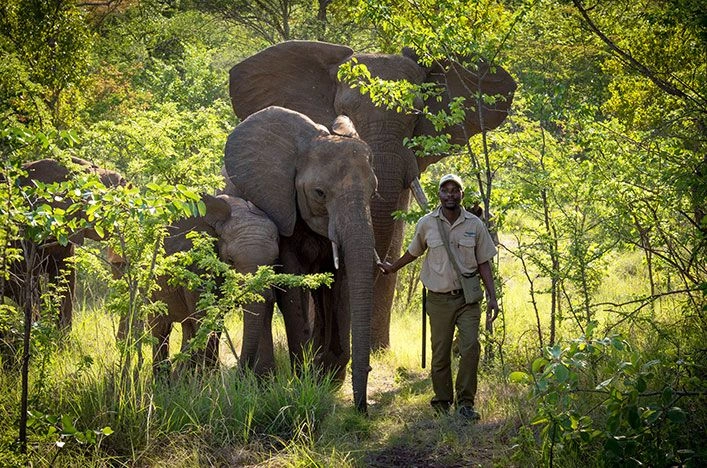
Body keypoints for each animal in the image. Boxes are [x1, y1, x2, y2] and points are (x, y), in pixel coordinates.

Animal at [223, 105, 378, 412]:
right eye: (319, 193)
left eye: (373, 192)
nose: (362, 409)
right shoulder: (280, 205)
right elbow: (291, 288)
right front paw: (305, 379)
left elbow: (341, 286)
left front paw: (329, 379)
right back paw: (265, 380)